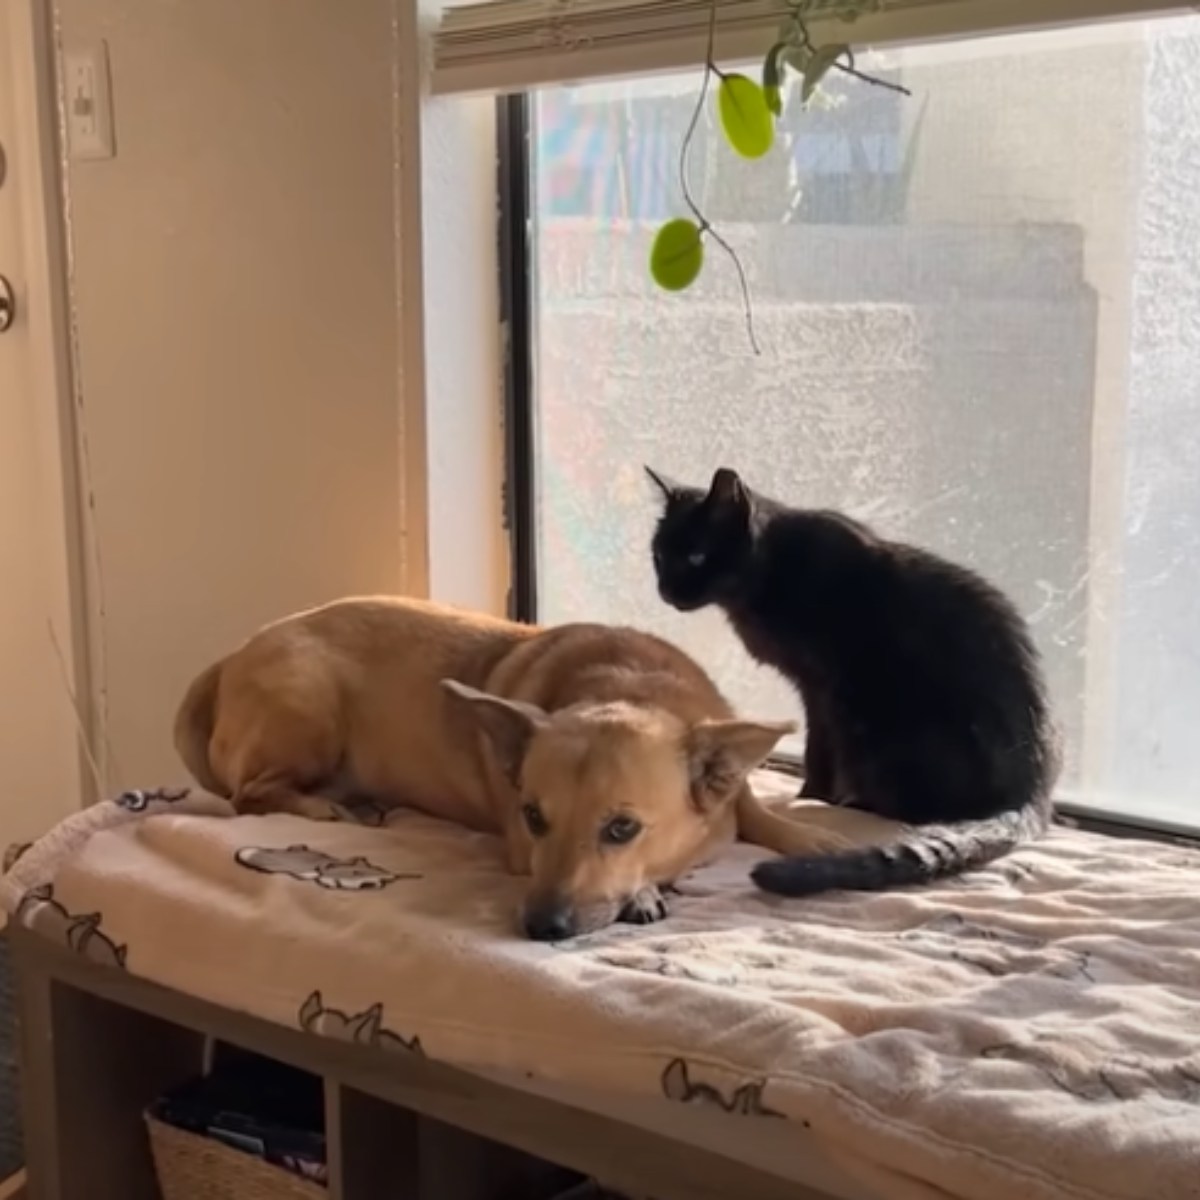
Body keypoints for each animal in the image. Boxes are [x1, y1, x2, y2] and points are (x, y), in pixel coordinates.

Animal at [174, 597, 897, 936]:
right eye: (532, 818)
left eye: (621, 828)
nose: (542, 928)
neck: (629, 685)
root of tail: (232, 655)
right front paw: (644, 893)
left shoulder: (726, 782)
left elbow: (753, 806)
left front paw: (809, 836)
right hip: (310, 704)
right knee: (250, 793)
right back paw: (329, 806)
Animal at [648, 463, 1060, 897]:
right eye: (659, 555)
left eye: (696, 555)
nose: (665, 589)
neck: (769, 572)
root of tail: (1031, 794)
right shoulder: (814, 690)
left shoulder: (824, 689)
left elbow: (819, 752)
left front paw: (810, 798)